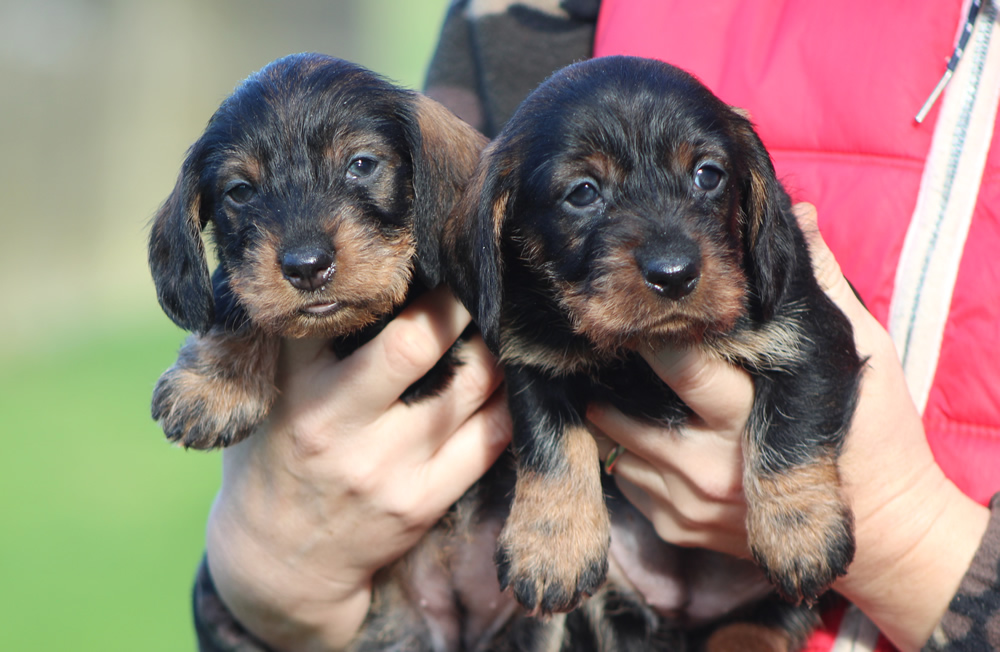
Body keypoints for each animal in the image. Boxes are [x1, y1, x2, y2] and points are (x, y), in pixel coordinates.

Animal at [442, 54, 864, 616]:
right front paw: (552, 545)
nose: (674, 274)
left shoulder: (811, 336)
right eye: (583, 192)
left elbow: (790, 429)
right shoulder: (534, 363)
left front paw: (801, 533)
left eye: (708, 175)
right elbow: (550, 447)